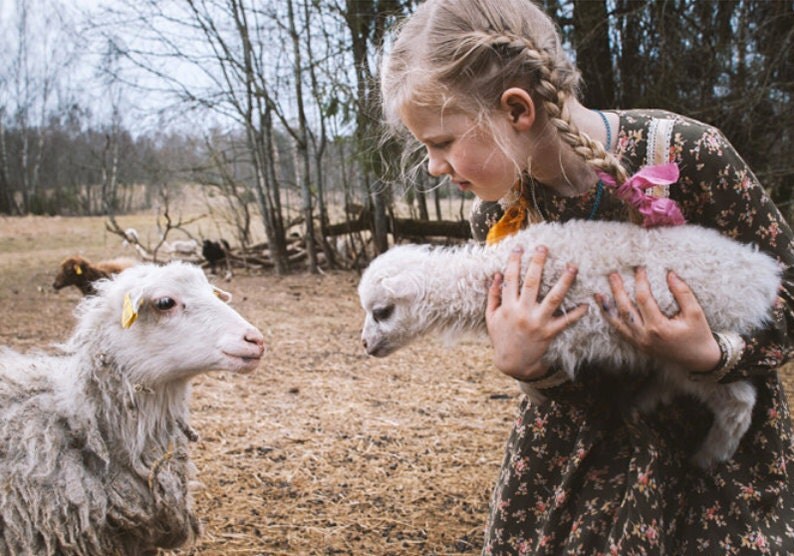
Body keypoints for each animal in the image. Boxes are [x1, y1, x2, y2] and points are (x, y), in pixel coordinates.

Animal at [358, 219, 780, 466]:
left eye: (382, 311)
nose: (365, 345)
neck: (495, 276)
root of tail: (763, 277)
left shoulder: (568, 334)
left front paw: (535, 392)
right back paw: (643, 403)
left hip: (694, 343)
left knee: (740, 401)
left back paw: (709, 456)